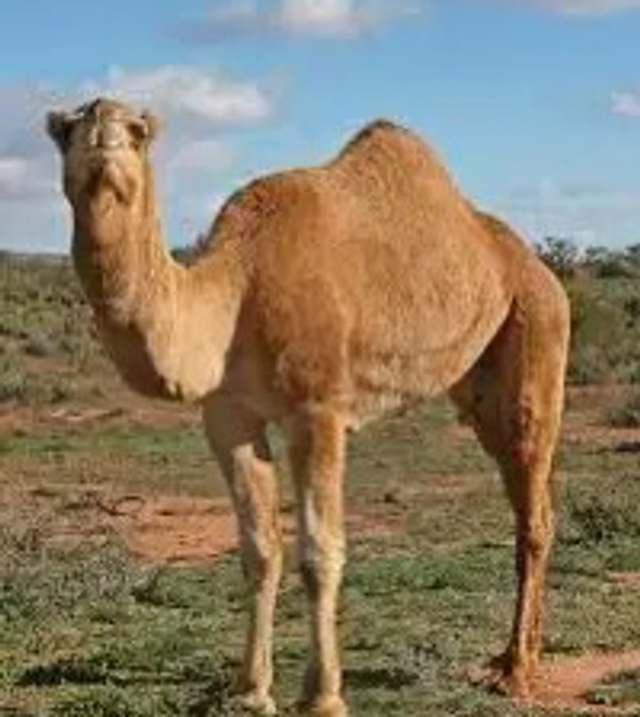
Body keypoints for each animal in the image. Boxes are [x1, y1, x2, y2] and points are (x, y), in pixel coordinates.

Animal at [47, 98, 570, 717]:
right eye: (67, 130)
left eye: (137, 131)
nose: (103, 135)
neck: (236, 290)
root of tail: (539, 268)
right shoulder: (226, 415)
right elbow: (259, 549)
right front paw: (251, 689)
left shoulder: (317, 409)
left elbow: (320, 553)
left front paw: (323, 695)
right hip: (478, 381)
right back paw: (514, 656)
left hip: (538, 327)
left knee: (534, 502)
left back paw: (516, 671)